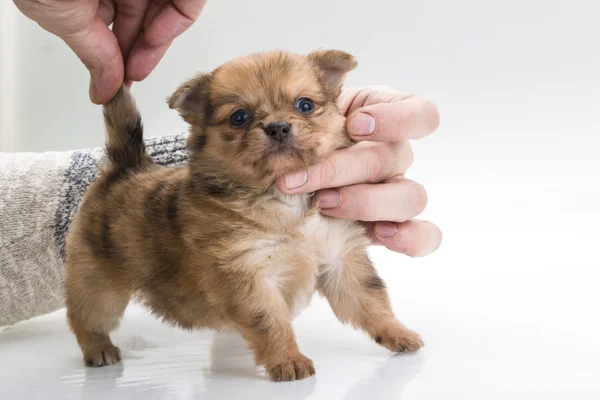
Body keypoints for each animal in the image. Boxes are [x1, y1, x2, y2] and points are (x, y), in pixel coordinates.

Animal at [65, 50, 422, 382]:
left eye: (305, 105)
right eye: (239, 117)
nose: (278, 127)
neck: (283, 198)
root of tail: (128, 167)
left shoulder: (340, 258)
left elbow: (370, 299)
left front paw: (397, 333)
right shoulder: (246, 274)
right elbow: (270, 322)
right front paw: (288, 360)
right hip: (99, 285)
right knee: (86, 317)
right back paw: (99, 349)